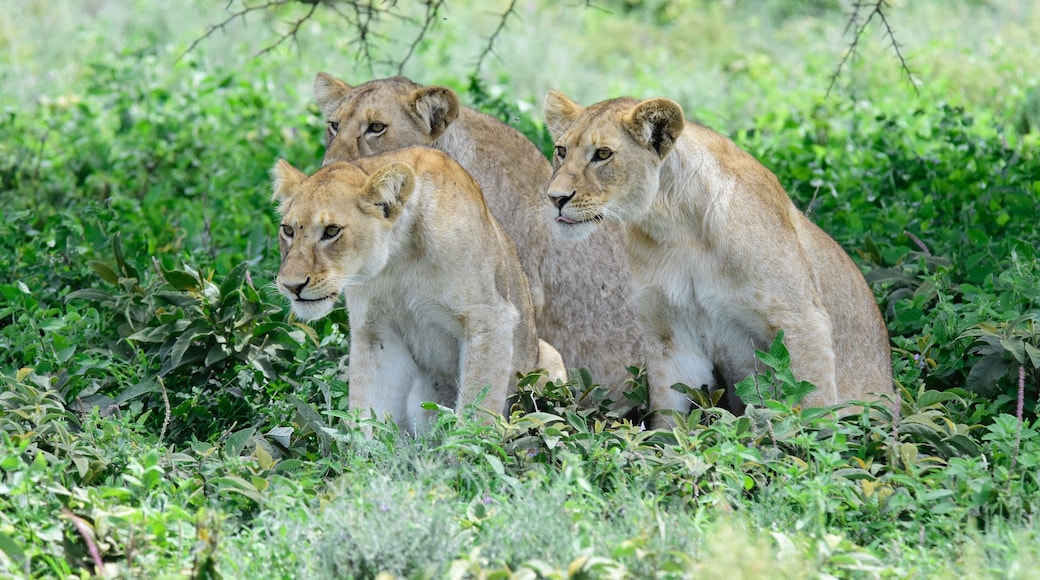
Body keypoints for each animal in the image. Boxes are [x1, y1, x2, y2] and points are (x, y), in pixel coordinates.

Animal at [271, 147, 565, 433]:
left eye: (332, 231)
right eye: (287, 230)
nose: (292, 286)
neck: (398, 258)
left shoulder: (490, 320)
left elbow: (476, 407)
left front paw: (465, 447)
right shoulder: (376, 331)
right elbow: (369, 409)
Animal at [542, 91, 893, 428]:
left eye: (602, 154)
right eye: (561, 150)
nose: (555, 198)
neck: (676, 228)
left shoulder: (802, 320)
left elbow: (811, 406)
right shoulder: (672, 332)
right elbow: (669, 419)